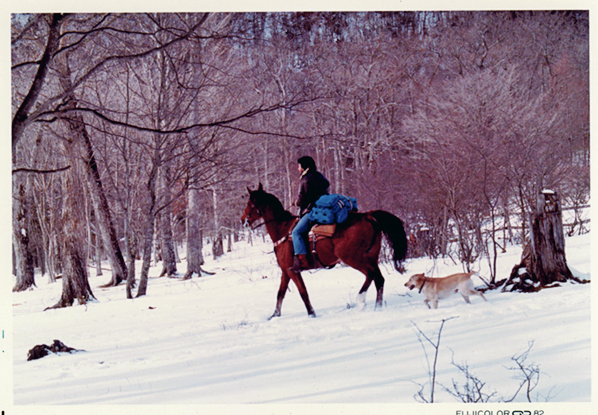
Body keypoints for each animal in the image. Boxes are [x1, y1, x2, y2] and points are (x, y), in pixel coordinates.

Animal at [243, 184, 408, 320]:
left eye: (250, 203)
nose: (243, 220)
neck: (282, 230)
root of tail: (368, 216)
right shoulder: (286, 271)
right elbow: (280, 293)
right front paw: (274, 315)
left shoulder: (292, 271)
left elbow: (303, 292)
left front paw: (312, 314)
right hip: (372, 256)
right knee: (379, 279)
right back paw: (377, 307)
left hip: (352, 258)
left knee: (370, 274)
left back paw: (361, 300)